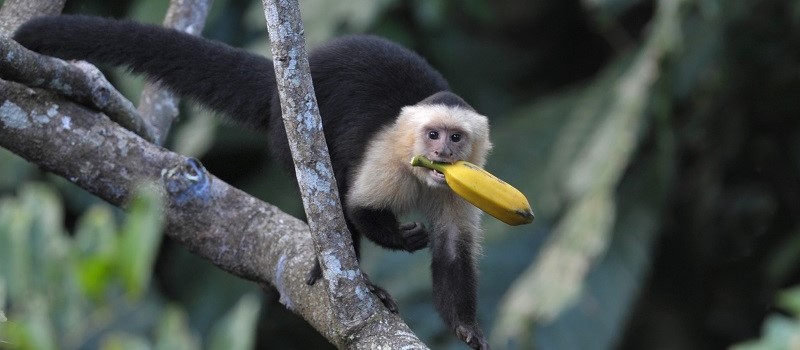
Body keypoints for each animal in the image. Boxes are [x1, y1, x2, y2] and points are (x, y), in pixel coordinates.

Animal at [14, 15, 494, 348]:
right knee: (329, 192)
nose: (442, 153)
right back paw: (347, 274)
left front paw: (466, 328)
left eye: (455, 137)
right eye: (432, 134)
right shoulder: (386, 158)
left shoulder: (464, 184)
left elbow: (453, 251)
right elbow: (356, 208)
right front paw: (402, 238)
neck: (423, 177)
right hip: (289, 132)